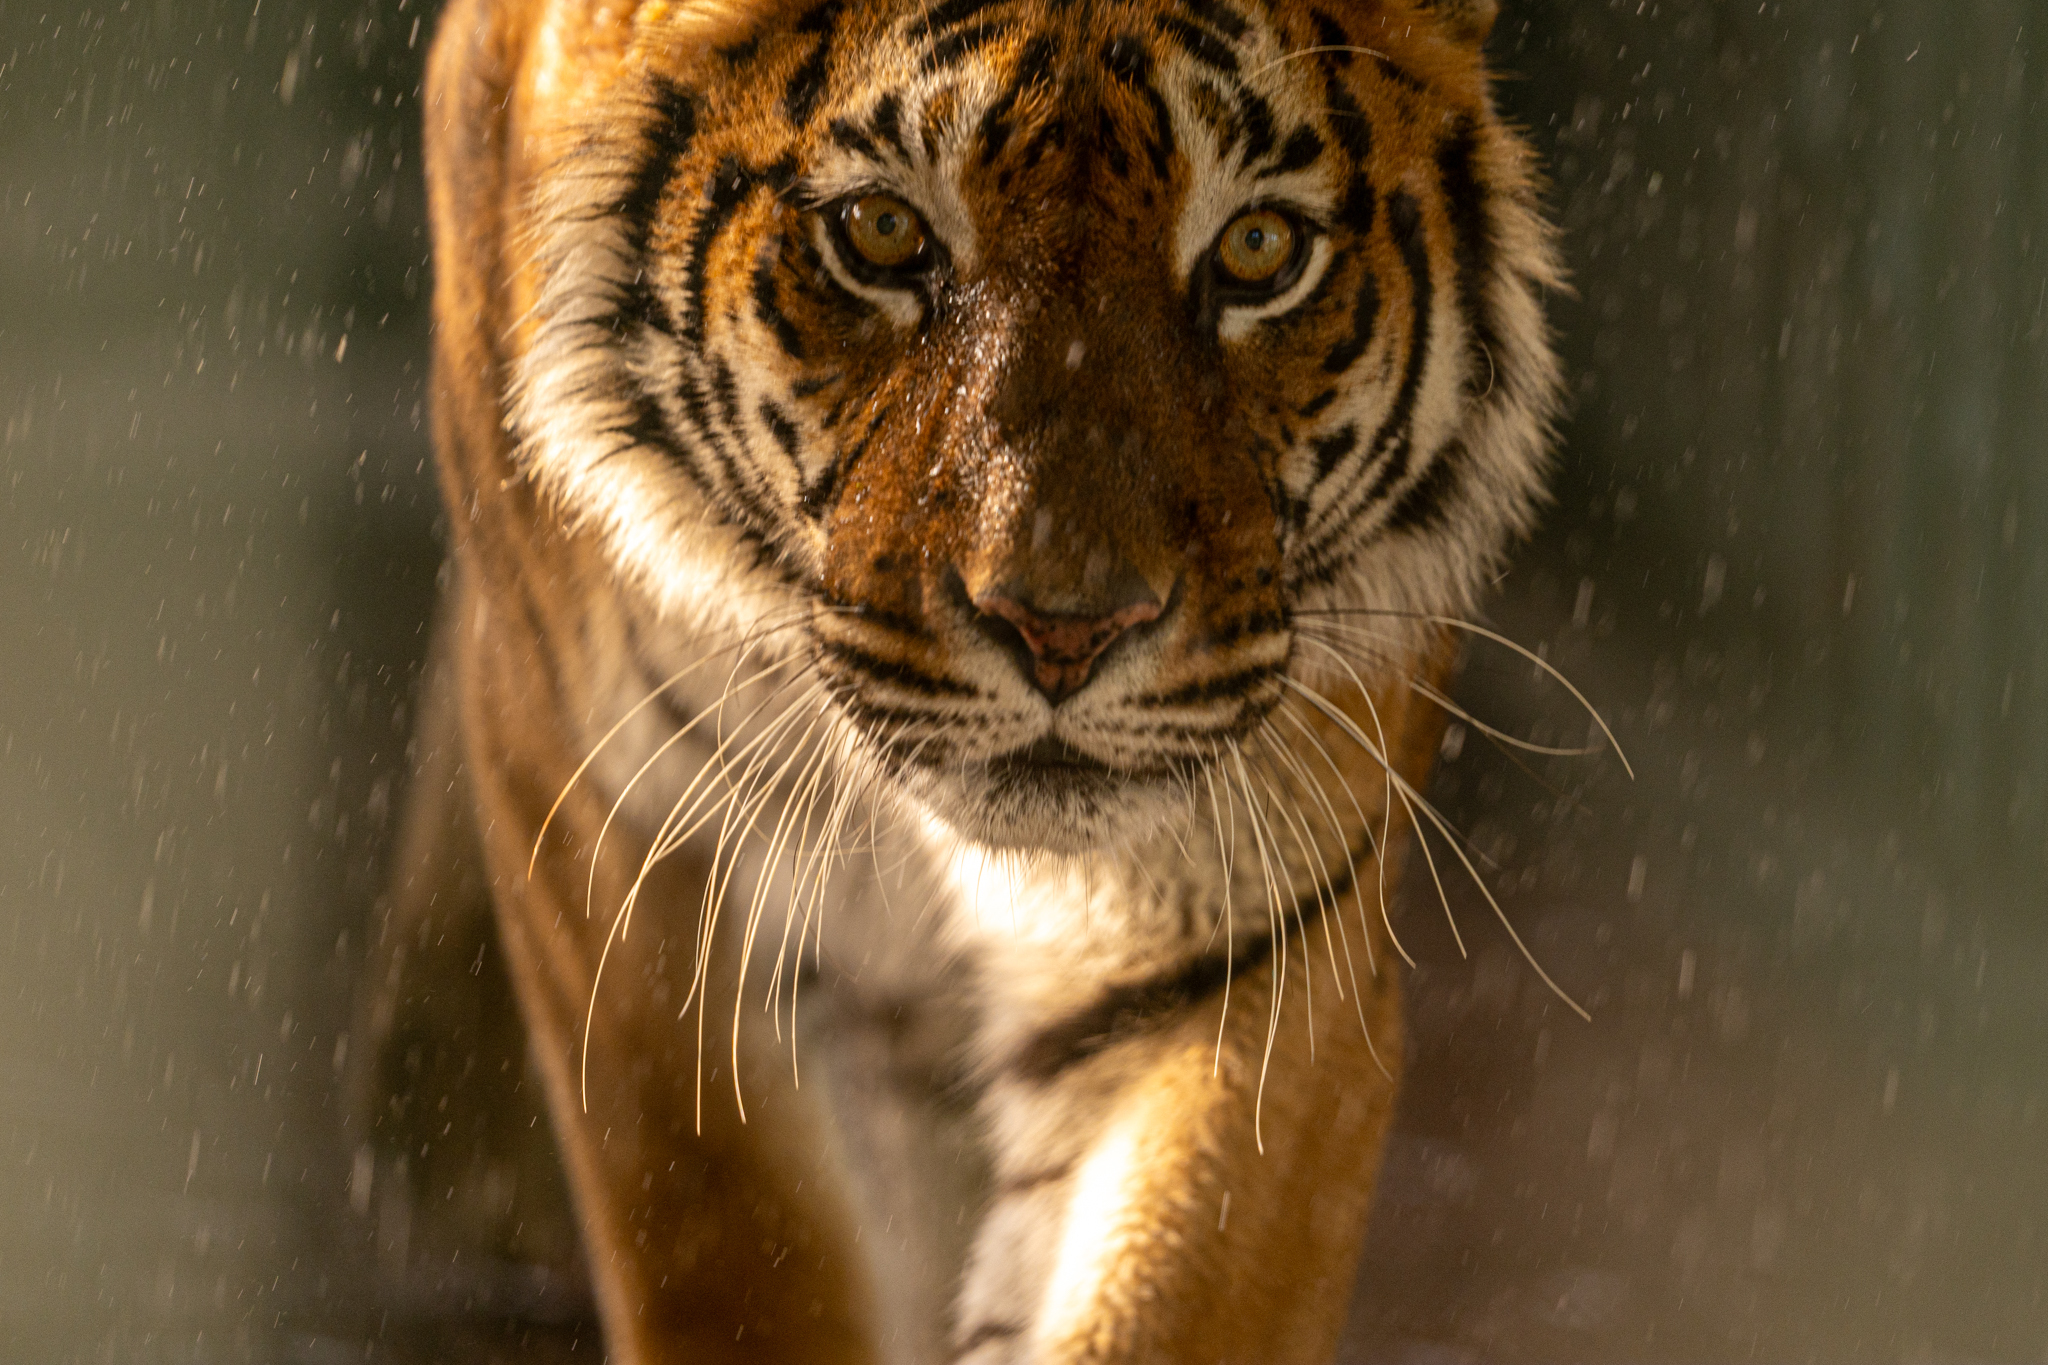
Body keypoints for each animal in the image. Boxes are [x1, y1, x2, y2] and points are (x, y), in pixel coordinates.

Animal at [368, 0, 1564, 1358]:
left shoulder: (1254, 942)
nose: (1063, 630)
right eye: (881, 232)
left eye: (1258, 250)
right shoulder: (613, 857)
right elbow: (731, 1254)